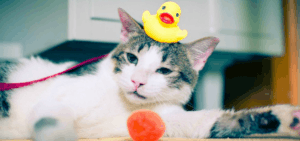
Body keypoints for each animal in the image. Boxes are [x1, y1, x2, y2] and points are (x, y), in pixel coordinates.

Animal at [0, 8, 300, 141]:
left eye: (164, 70)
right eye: (132, 58)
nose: (137, 81)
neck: (124, 105)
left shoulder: (161, 120)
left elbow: (210, 121)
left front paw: (283, 118)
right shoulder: (59, 97)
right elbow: (52, 120)